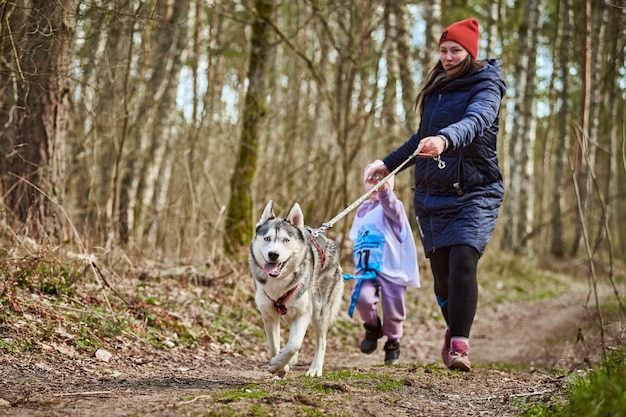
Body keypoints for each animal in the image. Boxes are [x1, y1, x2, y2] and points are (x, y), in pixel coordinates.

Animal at [249, 200, 344, 376]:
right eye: (267, 238)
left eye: (286, 240)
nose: (273, 254)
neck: (278, 282)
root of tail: (328, 241)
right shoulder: (269, 315)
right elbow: (274, 344)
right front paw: (280, 366)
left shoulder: (303, 313)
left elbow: (294, 343)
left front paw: (278, 364)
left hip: (319, 310)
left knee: (321, 340)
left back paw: (315, 369)